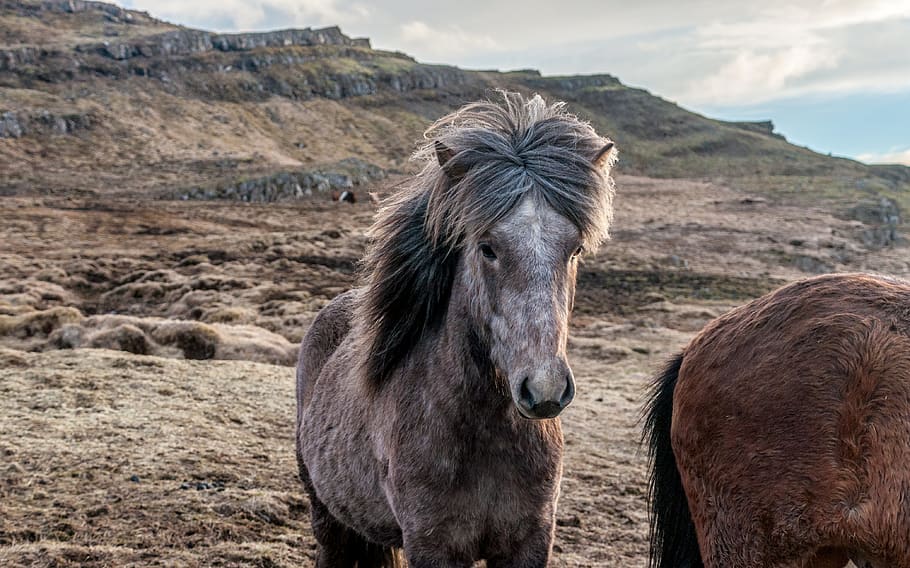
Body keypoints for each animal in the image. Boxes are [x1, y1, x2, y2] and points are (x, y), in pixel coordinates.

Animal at [295, 91, 617, 567]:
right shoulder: (432, 545)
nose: (544, 390)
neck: (486, 437)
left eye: (574, 249)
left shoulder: (530, 541)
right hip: (327, 518)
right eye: (487, 248)